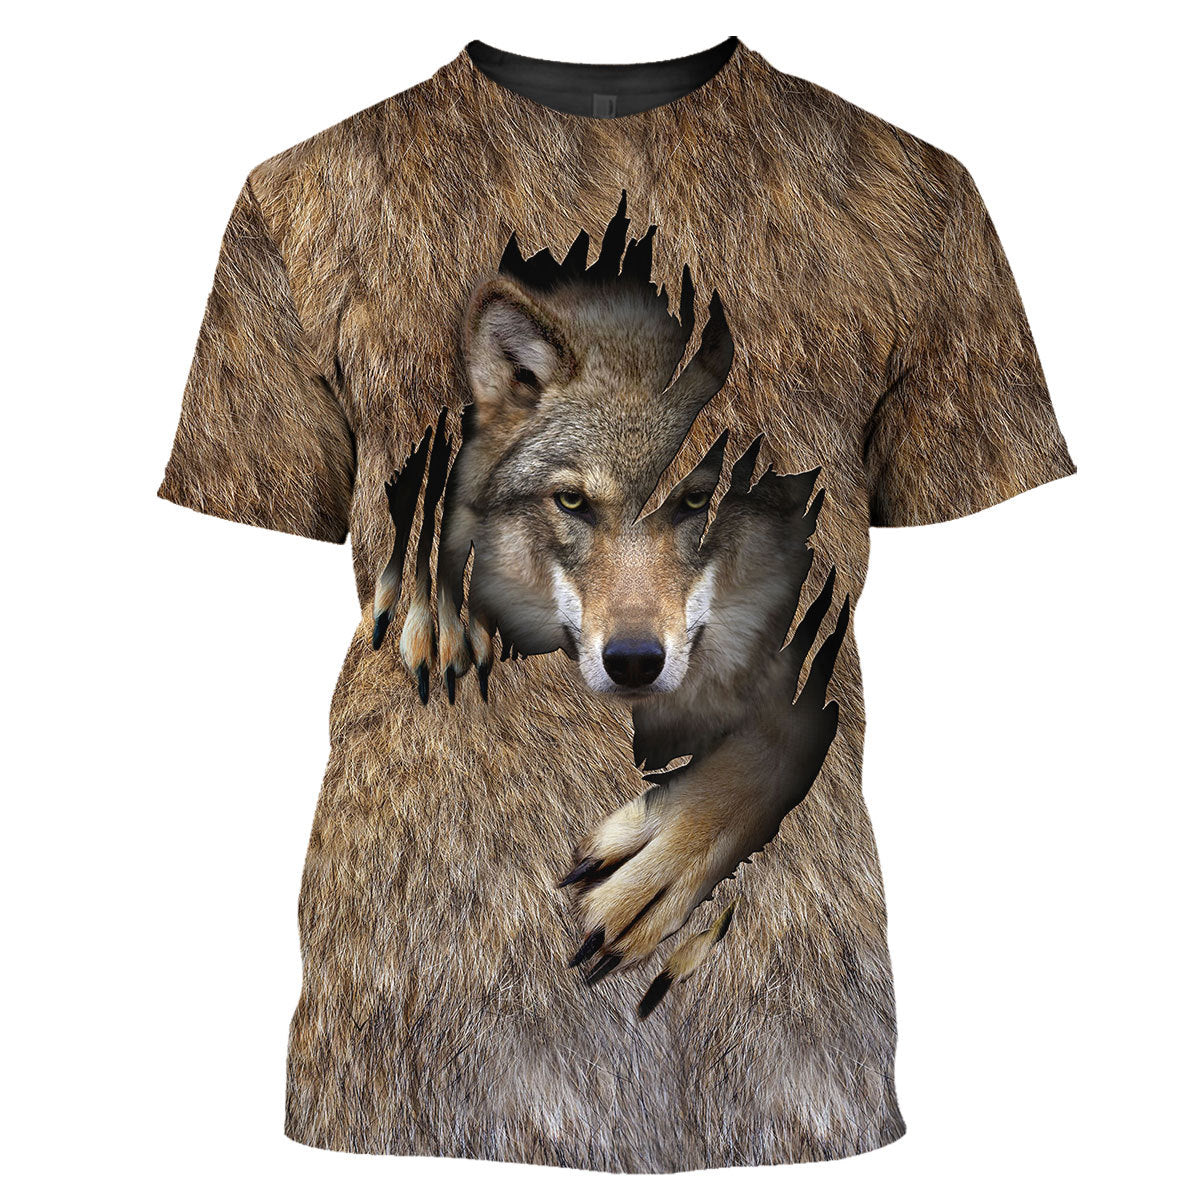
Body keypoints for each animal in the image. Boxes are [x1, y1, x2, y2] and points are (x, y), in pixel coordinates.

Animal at [371, 197, 848, 1016]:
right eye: (572, 503)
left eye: (697, 503)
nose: (632, 663)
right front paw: (443, 613)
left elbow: (773, 743)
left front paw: (660, 864)